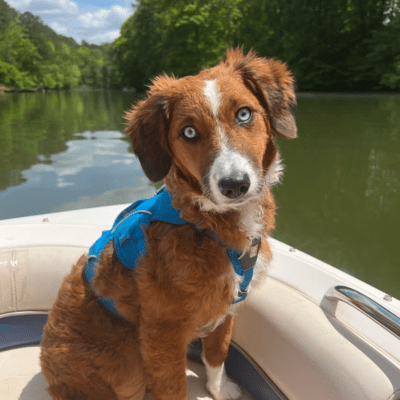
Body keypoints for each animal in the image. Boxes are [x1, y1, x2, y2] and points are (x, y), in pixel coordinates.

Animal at [40, 47, 296, 400]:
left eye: (244, 114)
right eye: (188, 132)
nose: (234, 185)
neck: (204, 224)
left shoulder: (226, 308)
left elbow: (217, 354)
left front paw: (220, 389)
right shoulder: (162, 334)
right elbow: (174, 386)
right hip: (126, 363)